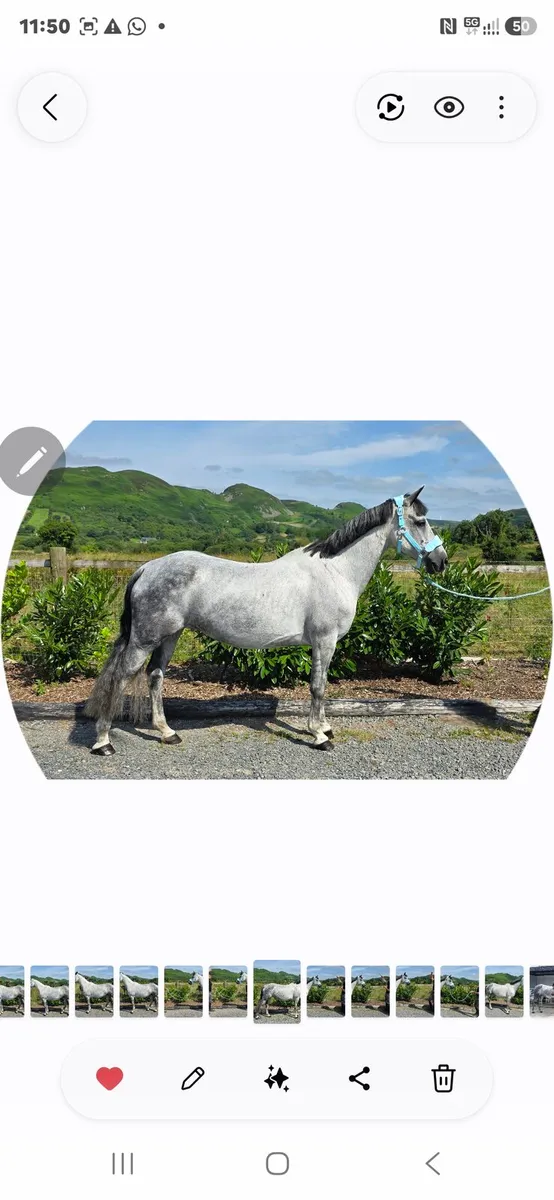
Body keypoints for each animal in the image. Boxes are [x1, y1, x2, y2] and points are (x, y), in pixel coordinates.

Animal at [85, 489, 446, 755]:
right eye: (421, 521)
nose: (440, 561)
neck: (335, 571)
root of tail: (147, 567)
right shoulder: (324, 640)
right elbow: (318, 687)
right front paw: (319, 736)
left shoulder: (324, 644)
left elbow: (321, 685)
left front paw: (324, 727)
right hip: (144, 640)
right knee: (120, 678)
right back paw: (103, 742)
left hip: (169, 636)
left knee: (155, 677)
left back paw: (167, 732)